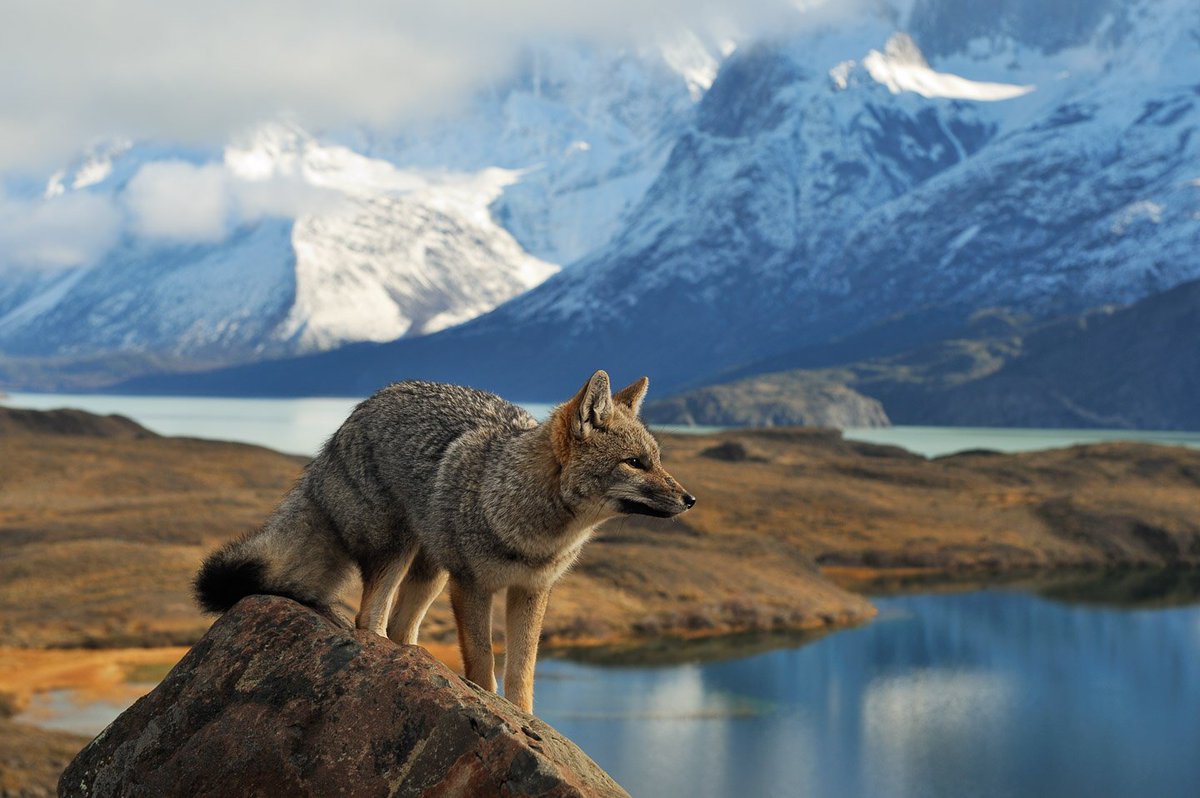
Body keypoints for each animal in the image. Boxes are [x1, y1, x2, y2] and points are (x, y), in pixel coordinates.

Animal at [194, 370, 694, 713]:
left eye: (657, 460)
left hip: (431, 572)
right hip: (399, 555)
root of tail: (355, 414)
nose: (690, 500)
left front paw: (524, 718)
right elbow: (483, 659)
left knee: (401, 629)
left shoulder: (532, 591)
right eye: (636, 463)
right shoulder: (471, 584)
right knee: (367, 620)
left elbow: (522, 671)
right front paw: (488, 702)